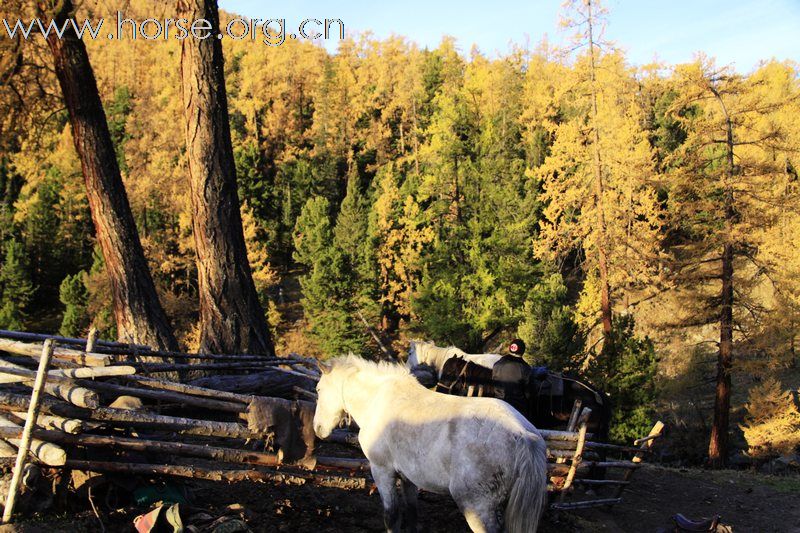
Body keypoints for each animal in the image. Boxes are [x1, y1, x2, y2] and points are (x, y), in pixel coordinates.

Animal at [310, 354, 548, 532]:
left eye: (318, 390)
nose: (318, 428)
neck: (379, 400)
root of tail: (523, 435)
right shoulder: (409, 477)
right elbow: (412, 514)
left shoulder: (382, 471)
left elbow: (391, 516)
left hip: (477, 509)